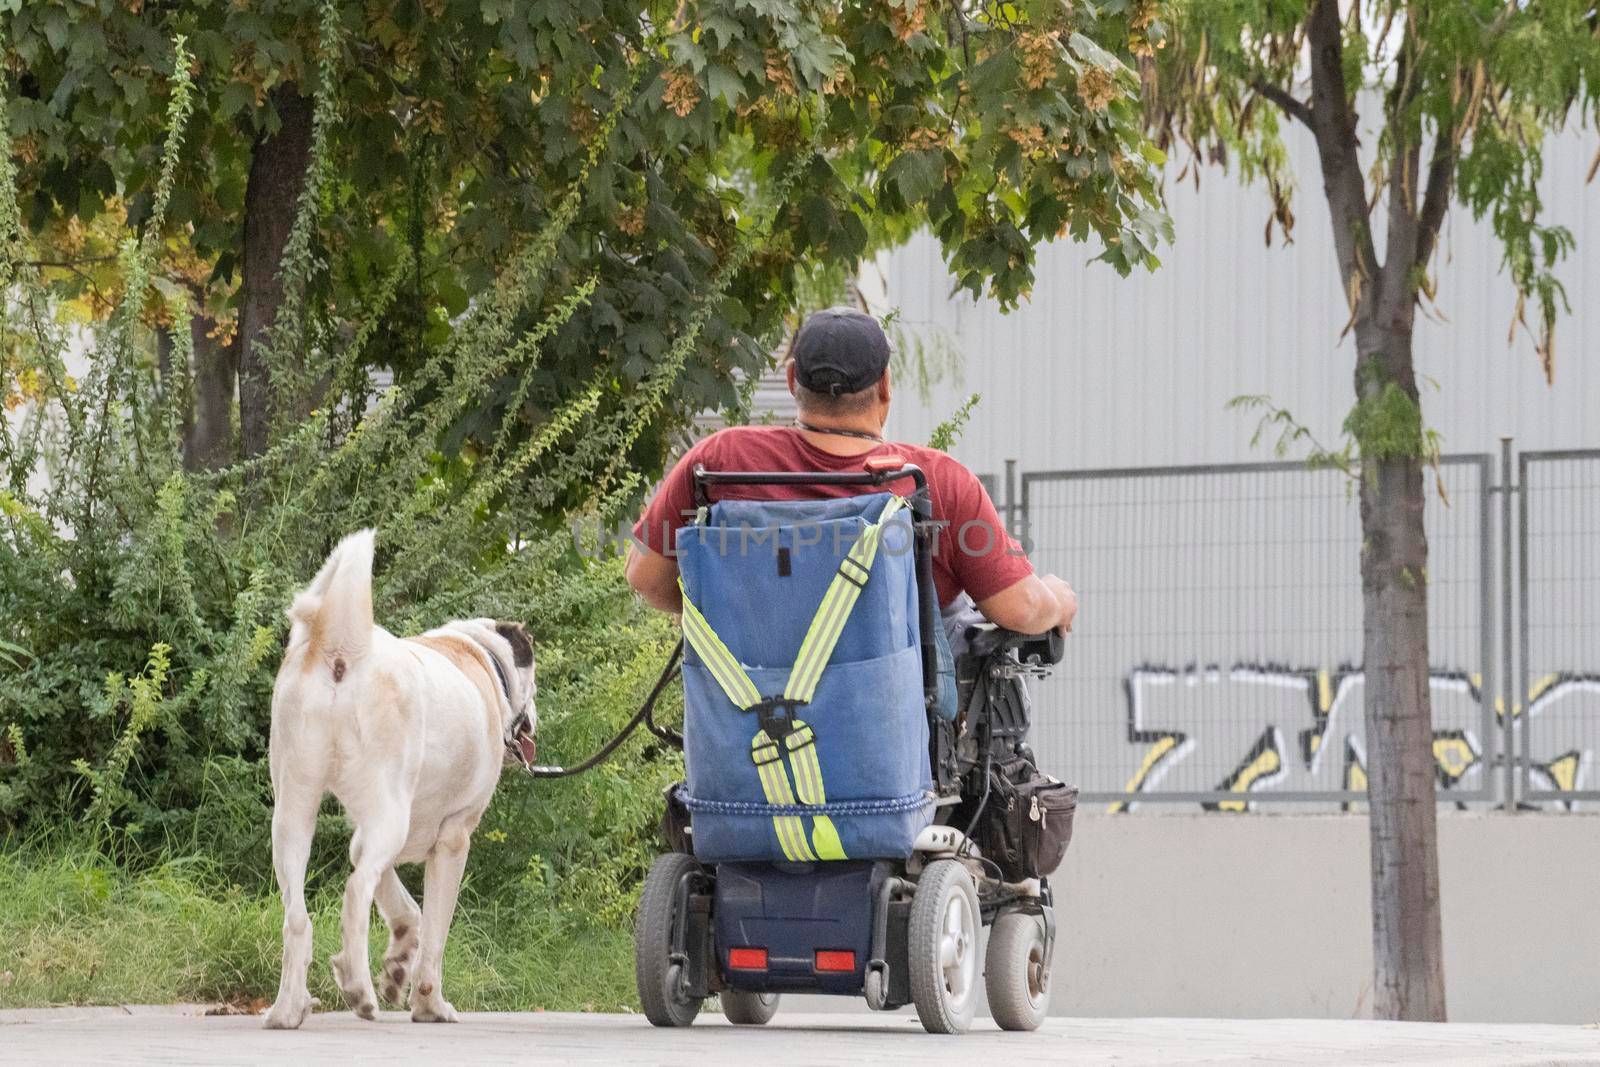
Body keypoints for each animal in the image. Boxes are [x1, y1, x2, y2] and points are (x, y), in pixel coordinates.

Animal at [262, 531, 537, 1030]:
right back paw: (358, 988)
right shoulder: (453, 840)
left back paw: (288, 1009)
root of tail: (342, 650)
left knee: (298, 916)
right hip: (389, 819)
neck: (480, 656)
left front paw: (397, 965)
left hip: (295, 814)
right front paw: (429, 1004)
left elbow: (406, 910)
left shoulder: (365, 832)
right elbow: (435, 933)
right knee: (355, 893)